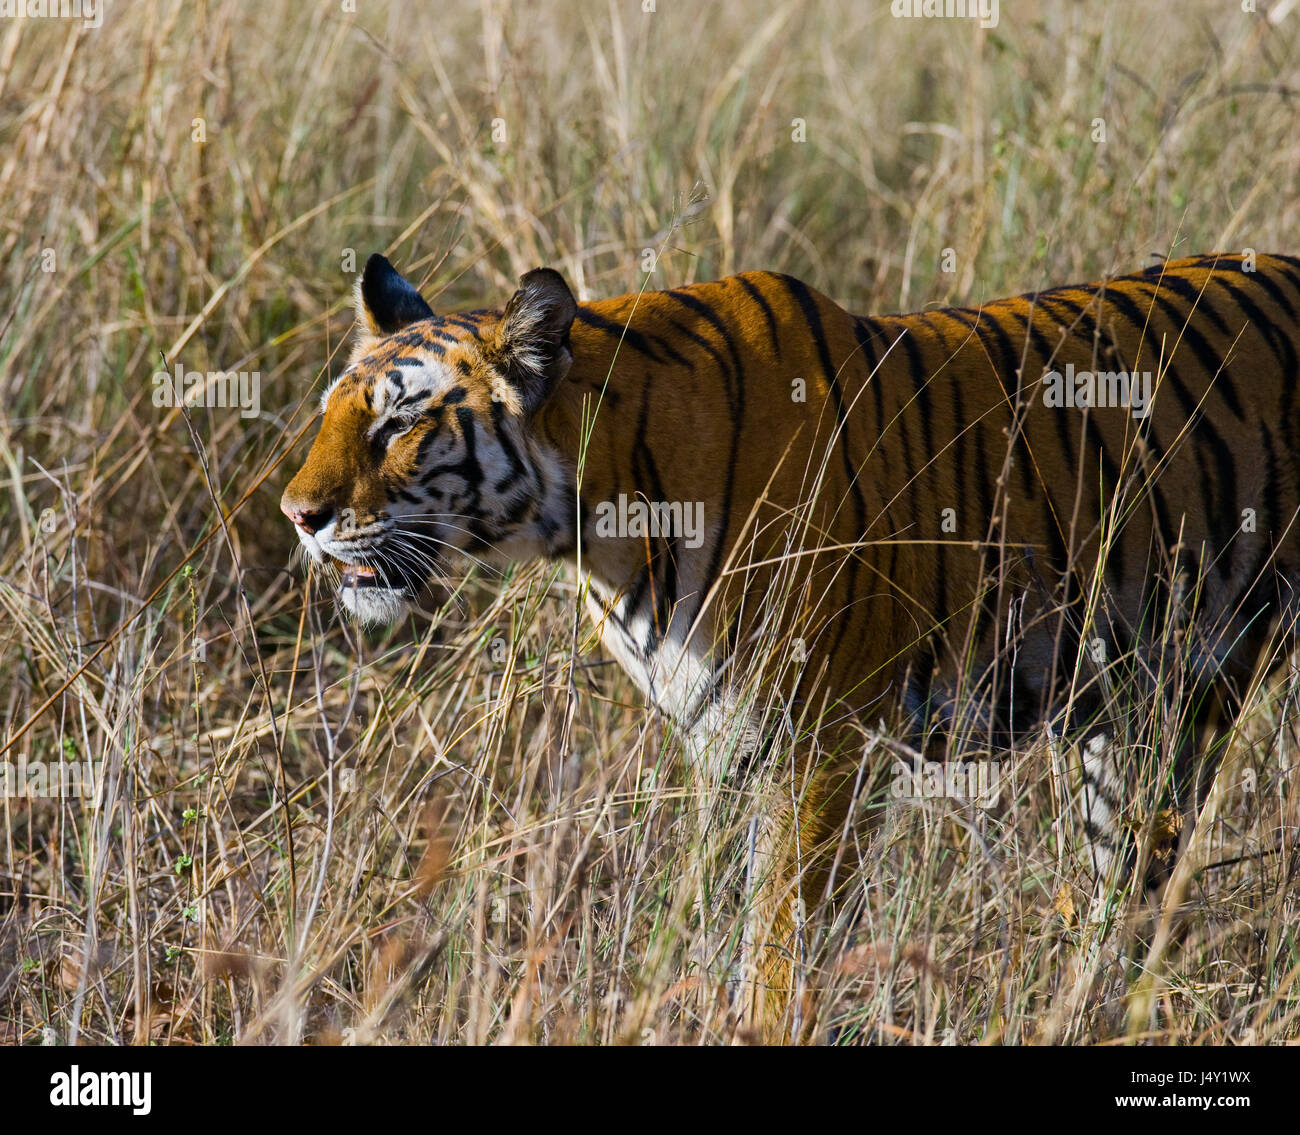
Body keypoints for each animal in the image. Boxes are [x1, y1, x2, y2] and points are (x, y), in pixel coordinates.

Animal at [282, 252, 1300, 1029]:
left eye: (401, 421)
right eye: (335, 412)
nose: (298, 516)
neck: (598, 509)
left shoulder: (824, 741)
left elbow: (779, 937)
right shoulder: (721, 739)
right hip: (1128, 717)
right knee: (1124, 888)